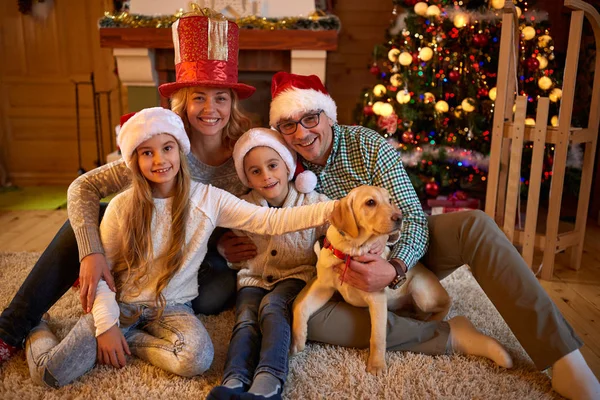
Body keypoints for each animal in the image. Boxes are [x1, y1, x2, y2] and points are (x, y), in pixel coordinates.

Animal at [290, 186, 450, 374]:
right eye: (370, 202)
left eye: (390, 200)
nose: (400, 218)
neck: (352, 251)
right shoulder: (324, 287)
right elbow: (301, 307)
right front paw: (297, 341)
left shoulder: (377, 298)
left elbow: (378, 336)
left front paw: (377, 365)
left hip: (421, 292)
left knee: (446, 304)